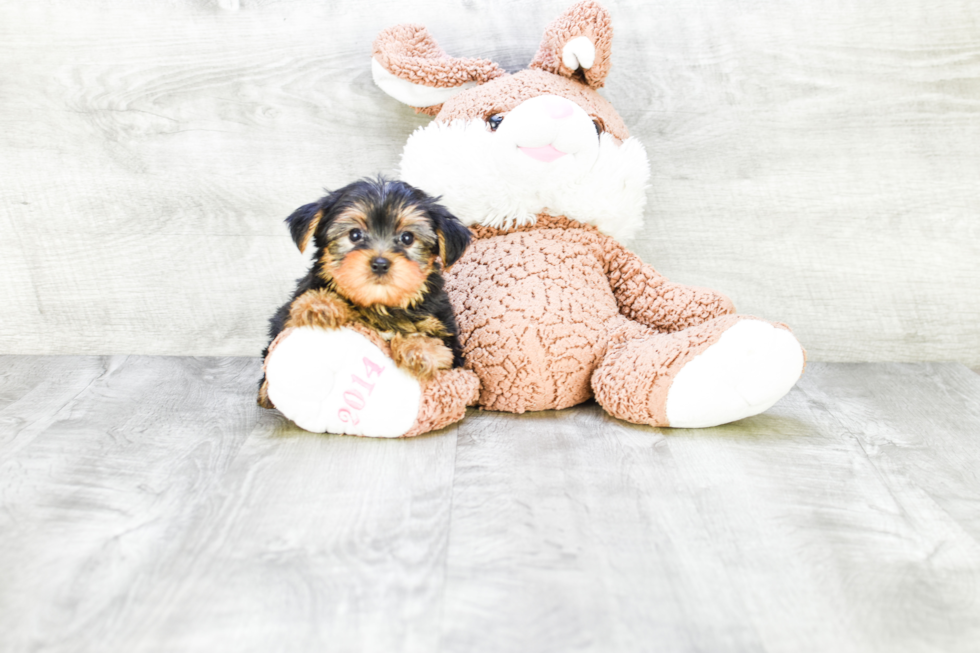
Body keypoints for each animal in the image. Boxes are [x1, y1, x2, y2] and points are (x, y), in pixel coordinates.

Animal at [258, 173, 472, 408]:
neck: (379, 305)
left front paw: (420, 350)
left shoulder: (446, 333)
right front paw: (321, 304)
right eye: (355, 234)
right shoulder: (286, 318)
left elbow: (438, 346)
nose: (380, 263)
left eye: (407, 238)